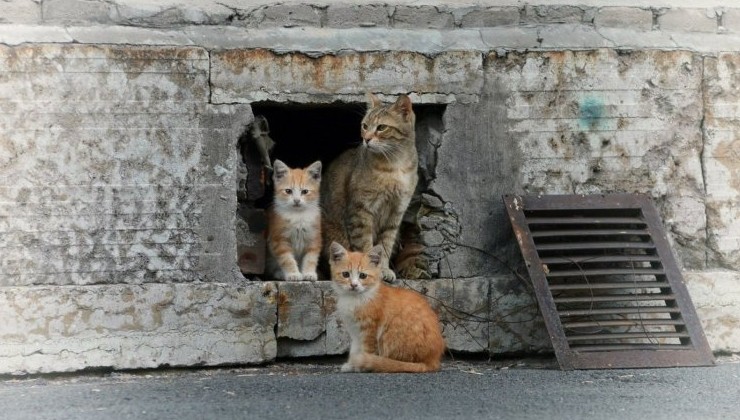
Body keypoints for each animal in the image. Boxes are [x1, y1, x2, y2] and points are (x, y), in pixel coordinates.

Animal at [322, 94, 420, 282]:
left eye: (381, 127)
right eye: (365, 126)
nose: (366, 139)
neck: (394, 166)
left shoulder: (395, 213)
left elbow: (385, 244)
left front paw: (384, 269)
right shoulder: (361, 210)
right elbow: (365, 244)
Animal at [330, 241, 446, 372]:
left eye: (363, 276)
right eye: (345, 274)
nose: (353, 285)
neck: (355, 299)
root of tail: (432, 361)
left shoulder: (370, 329)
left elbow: (367, 350)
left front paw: (361, 365)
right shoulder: (354, 331)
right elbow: (355, 349)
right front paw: (351, 364)